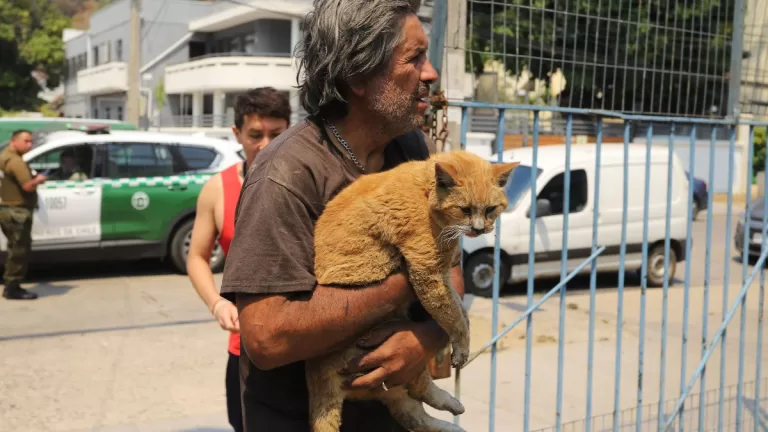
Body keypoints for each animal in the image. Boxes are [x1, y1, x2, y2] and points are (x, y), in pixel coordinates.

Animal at [308, 149, 520, 432]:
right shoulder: (427, 270)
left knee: (413, 414)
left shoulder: (443, 272)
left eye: (490, 209)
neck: (425, 190)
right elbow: (452, 316)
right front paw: (461, 346)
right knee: (418, 391)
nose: (478, 229)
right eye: (464, 209)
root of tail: (317, 371)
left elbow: (459, 309)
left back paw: (453, 419)